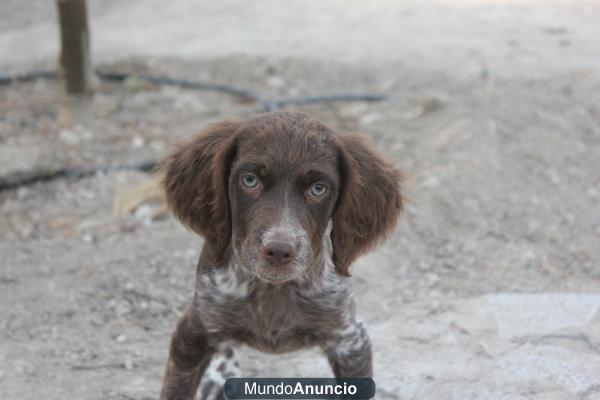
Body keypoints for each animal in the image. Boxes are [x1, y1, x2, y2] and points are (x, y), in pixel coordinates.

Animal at [159, 110, 404, 400]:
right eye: (250, 180)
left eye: (318, 188)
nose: (278, 250)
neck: (273, 290)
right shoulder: (192, 335)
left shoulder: (351, 341)